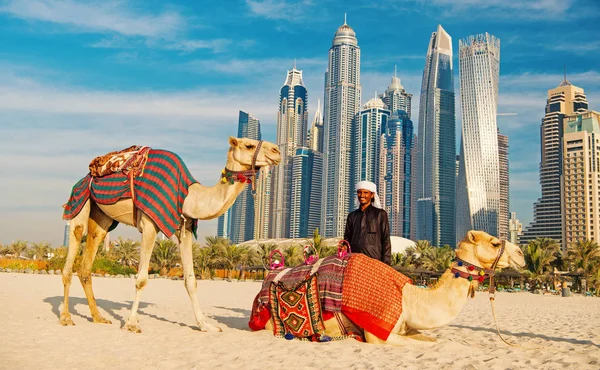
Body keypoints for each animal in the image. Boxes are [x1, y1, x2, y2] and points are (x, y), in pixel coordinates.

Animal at [59, 137, 280, 332]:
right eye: (249, 145)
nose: (277, 150)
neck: (189, 197)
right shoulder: (149, 224)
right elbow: (141, 279)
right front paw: (131, 324)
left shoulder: (185, 229)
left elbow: (191, 280)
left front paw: (206, 326)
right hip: (80, 201)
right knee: (73, 247)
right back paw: (66, 317)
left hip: (102, 219)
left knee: (86, 264)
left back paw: (98, 317)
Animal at [253, 230, 524, 346]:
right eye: (495, 243)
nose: (521, 254)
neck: (409, 299)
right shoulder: (377, 331)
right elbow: (429, 345)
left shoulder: (407, 327)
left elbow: (434, 340)